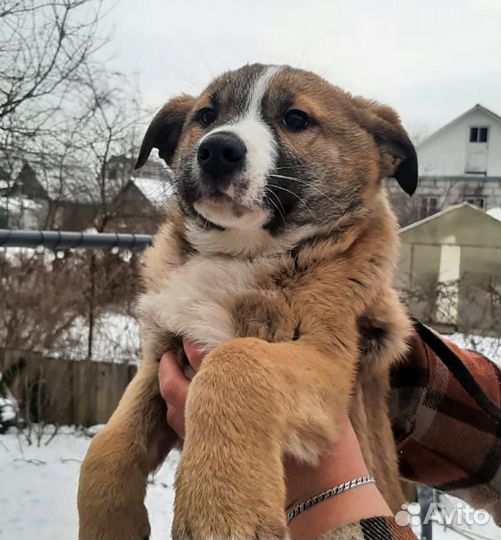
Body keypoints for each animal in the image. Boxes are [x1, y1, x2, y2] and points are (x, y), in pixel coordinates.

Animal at [77, 64, 414, 540]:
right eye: (206, 115)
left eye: (295, 119)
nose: (217, 149)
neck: (243, 252)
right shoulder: (160, 357)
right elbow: (108, 441)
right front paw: (109, 521)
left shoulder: (329, 362)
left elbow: (238, 360)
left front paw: (224, 506)